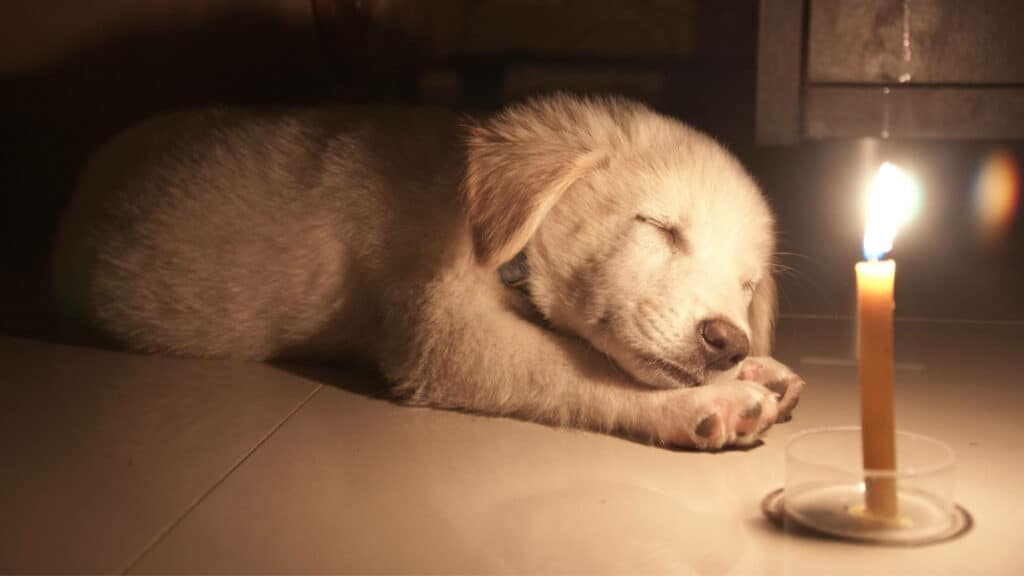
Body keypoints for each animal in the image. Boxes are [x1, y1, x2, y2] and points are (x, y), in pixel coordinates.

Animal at [56, 94, 802, 448]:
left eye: (746, 285)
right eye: (659, 227)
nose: (727, 342)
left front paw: (756, 369)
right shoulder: (443, 330)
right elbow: (575, 367)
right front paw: (709, 402)